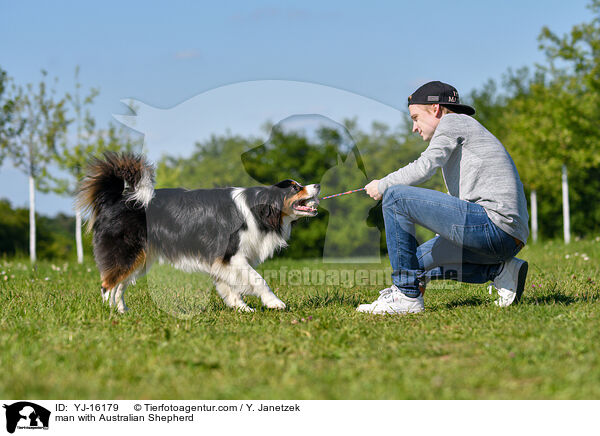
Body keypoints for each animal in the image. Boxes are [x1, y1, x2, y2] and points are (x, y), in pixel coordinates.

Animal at [77, 152, 322, 312]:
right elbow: (258, 279)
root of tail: (117, 199)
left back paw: (122, 312)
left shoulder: (220, 261)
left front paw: (241, 308)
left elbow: (230, 287)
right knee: (107, 285)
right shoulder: (231, 255)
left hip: (140, 257)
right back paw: (111, 315)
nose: (318, 185)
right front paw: (274, 303)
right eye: (295, 187)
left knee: (119, 285)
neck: (260, 208)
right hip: (127, 251)